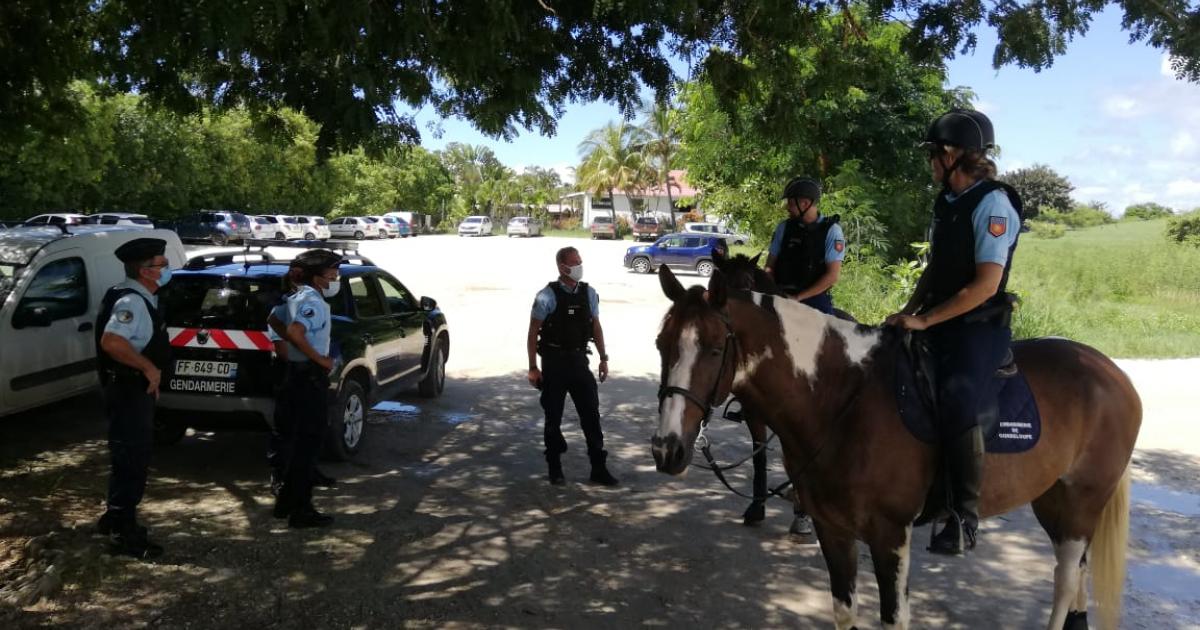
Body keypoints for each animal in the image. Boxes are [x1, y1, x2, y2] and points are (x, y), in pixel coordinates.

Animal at [652, 265, 1137, 628]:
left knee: (1064, 579)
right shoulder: (834, 530)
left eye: (715, 350)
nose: (666, 449)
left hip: (1083, 502)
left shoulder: (890, 536)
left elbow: (892, 617)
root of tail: (1111, 371)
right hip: (1054, 501)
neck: (841, 399)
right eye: (661, 344)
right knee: (1078, 573)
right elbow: (844, 611)